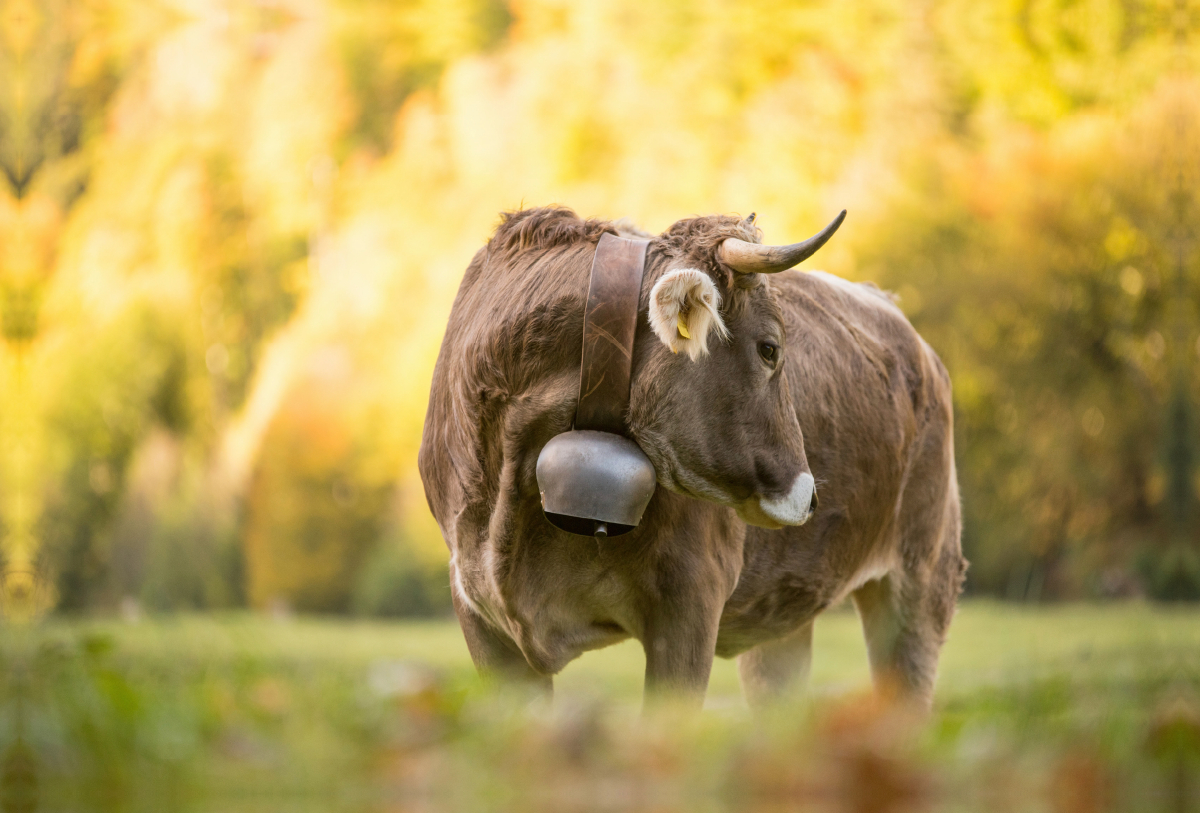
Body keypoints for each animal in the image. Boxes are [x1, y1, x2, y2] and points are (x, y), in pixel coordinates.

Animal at [420, 209, 964, 714]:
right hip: (782, 619)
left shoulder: (690, 602)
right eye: (770, 349)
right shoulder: (480, 612)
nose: (809, 496)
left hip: (921, 582)